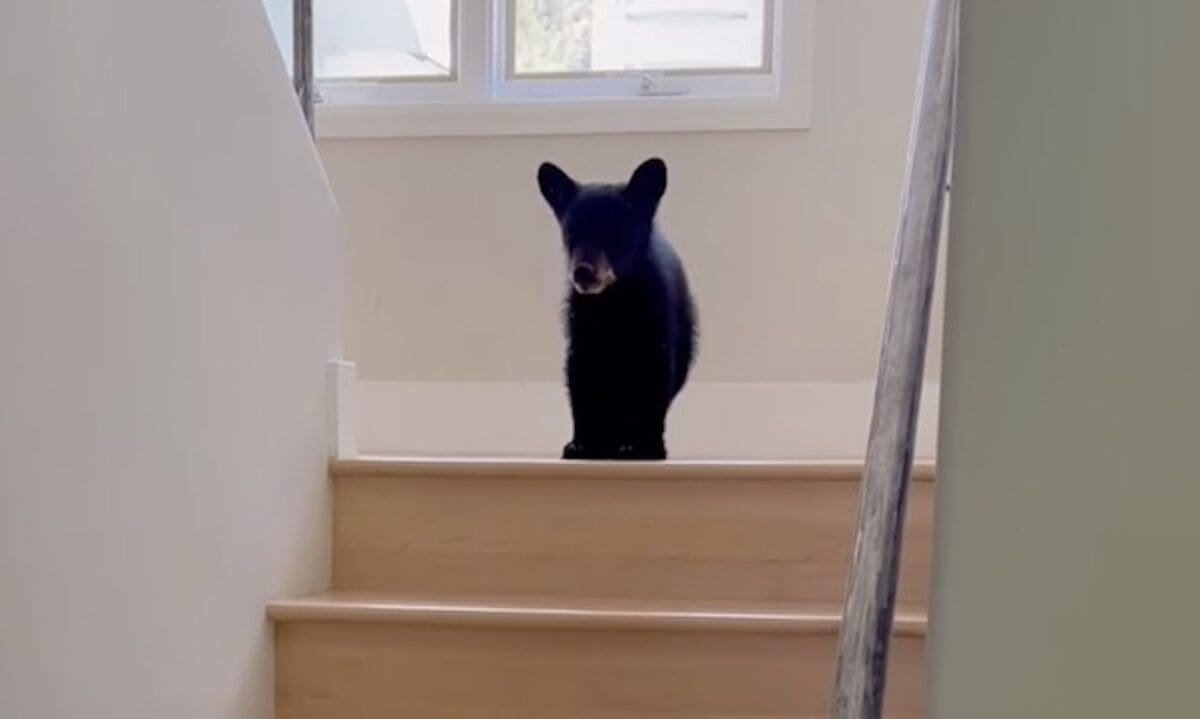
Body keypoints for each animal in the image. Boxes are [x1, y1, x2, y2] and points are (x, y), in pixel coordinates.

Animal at [536, 157, 697, 461]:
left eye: (615, 232)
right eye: (570, 233)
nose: (582, 273)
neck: (612, 302)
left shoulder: (656, 329)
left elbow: (654, 385)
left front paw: (646, 447)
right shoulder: (581, 336)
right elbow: (581, 384)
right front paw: (582, 444)